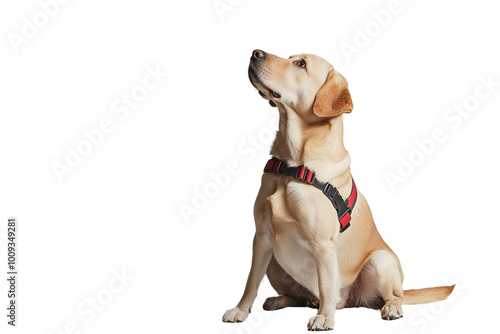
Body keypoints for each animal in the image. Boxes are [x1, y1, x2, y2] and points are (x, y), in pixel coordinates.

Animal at [223, 50, 454, 332]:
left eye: (300, 64)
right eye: (290, 57)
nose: (256, 53)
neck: (293, 166)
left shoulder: (323, 245)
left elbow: (325, 284)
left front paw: (325, 317)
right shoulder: (262, 237)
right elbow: (250, 281)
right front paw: (241, 310)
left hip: (381, 261)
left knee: (392, 295)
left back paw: (388, 307)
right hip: (275, 264)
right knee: (298, 296)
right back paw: (282, 300)